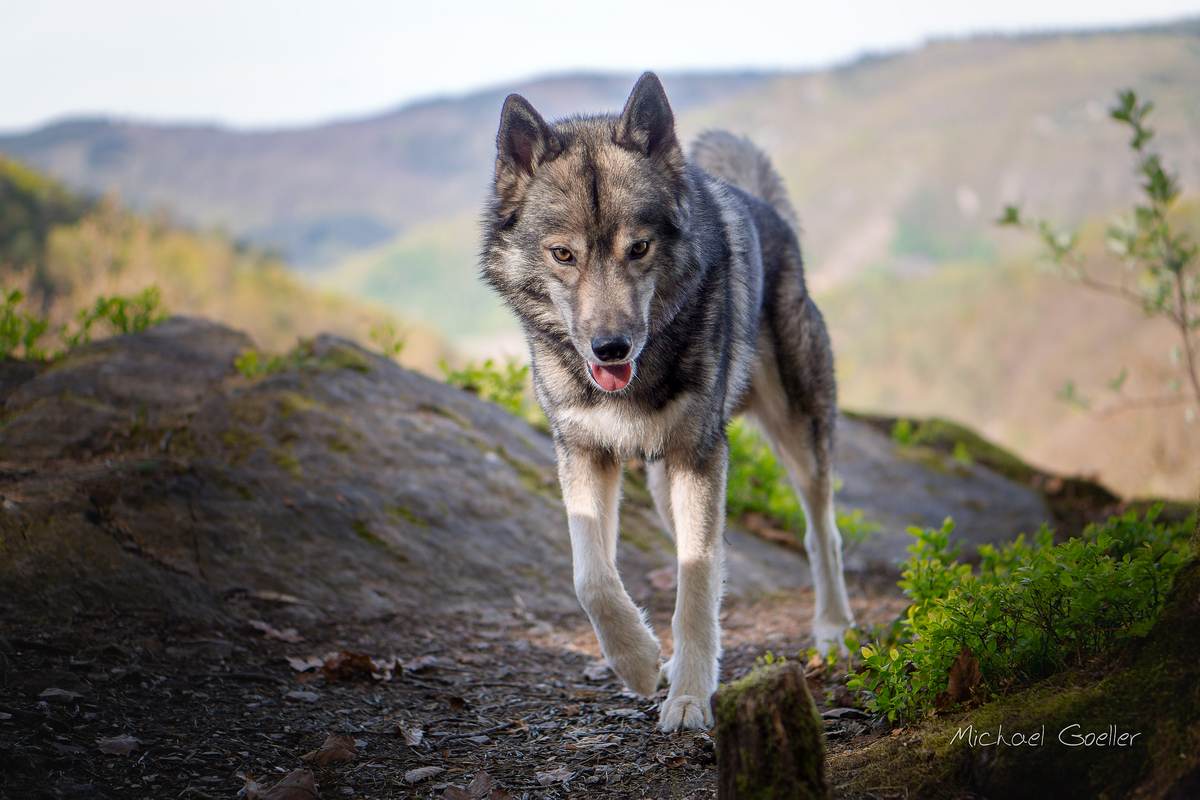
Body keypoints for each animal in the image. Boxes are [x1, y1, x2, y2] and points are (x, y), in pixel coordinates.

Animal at [481, 72, 855, 731]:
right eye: (563, 254)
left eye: (639, 248)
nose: (610, 348)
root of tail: (769, 211)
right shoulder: (584, 454)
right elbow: (591, 578)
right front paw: (638, 662)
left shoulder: (700, 456)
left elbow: (698, 579)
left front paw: (688, 699)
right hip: (660, 483)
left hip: (797, 435)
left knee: (821, 533)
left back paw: (832, 631)